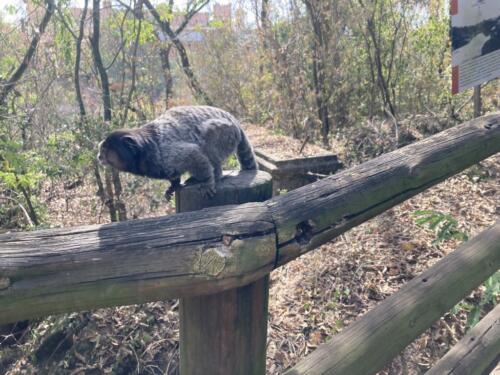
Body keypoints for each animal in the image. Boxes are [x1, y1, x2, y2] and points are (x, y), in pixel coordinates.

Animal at [96, 106, 258, 200]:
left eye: (104, 151)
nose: (99, 157)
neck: (146, 150)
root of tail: (235, 121)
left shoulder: (167, 153)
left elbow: (193, 154)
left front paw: (207, 181)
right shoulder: (164, 165)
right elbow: (173, 175)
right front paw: (173, 185)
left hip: (226, 131)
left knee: (209, 142)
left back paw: (214, 175)